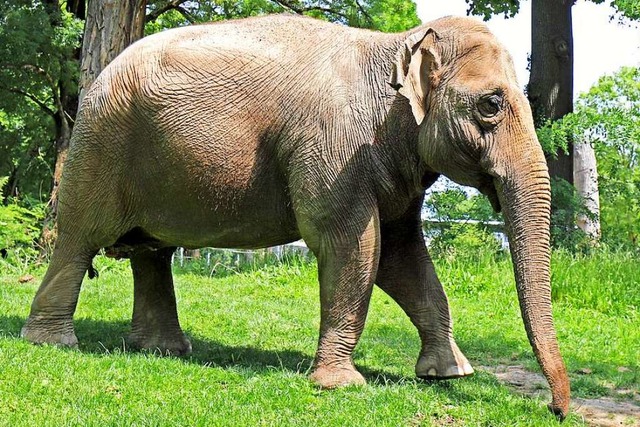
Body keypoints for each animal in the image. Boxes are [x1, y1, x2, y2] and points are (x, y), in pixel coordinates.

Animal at [20, 14, 568, 422]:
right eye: (491, 104)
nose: (555, 410)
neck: (394, 46)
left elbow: (403, 258)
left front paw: (449, 375)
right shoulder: (332, 149)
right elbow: (352, 246)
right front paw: (342, 386)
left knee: (151, 252)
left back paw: (164, 351)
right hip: (100, 147)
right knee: (78, 241)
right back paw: (53, 343)